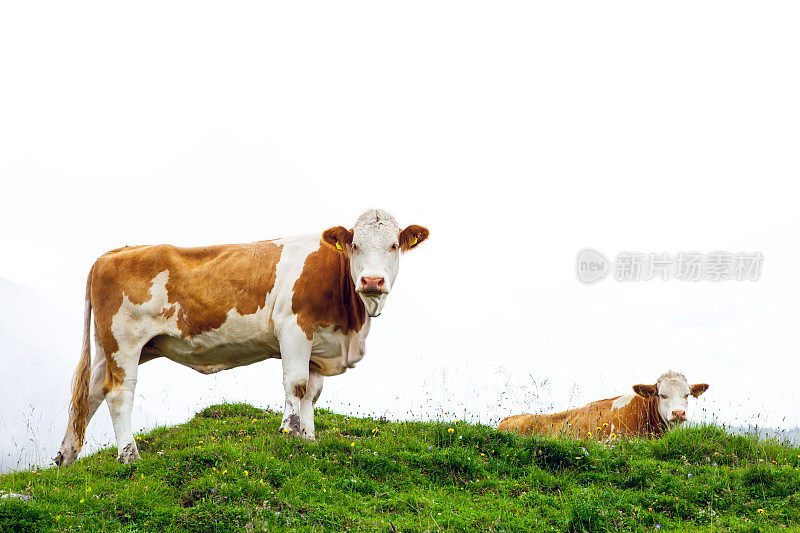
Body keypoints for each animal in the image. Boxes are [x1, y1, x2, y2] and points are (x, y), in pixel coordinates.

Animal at [53, 209, 428, 466]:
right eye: (355, 245)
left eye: (393, 245)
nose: (372, 281)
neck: (350, 327)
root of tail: (115, 252)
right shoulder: (293, 327)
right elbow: (296, 385)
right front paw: (289, 432)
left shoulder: (320, 342)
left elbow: (312, 392)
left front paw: (309, 440)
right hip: (125, 341)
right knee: (118, 393)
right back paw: (129, 456)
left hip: (109, 347)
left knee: (88, 396)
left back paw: (65, 460)